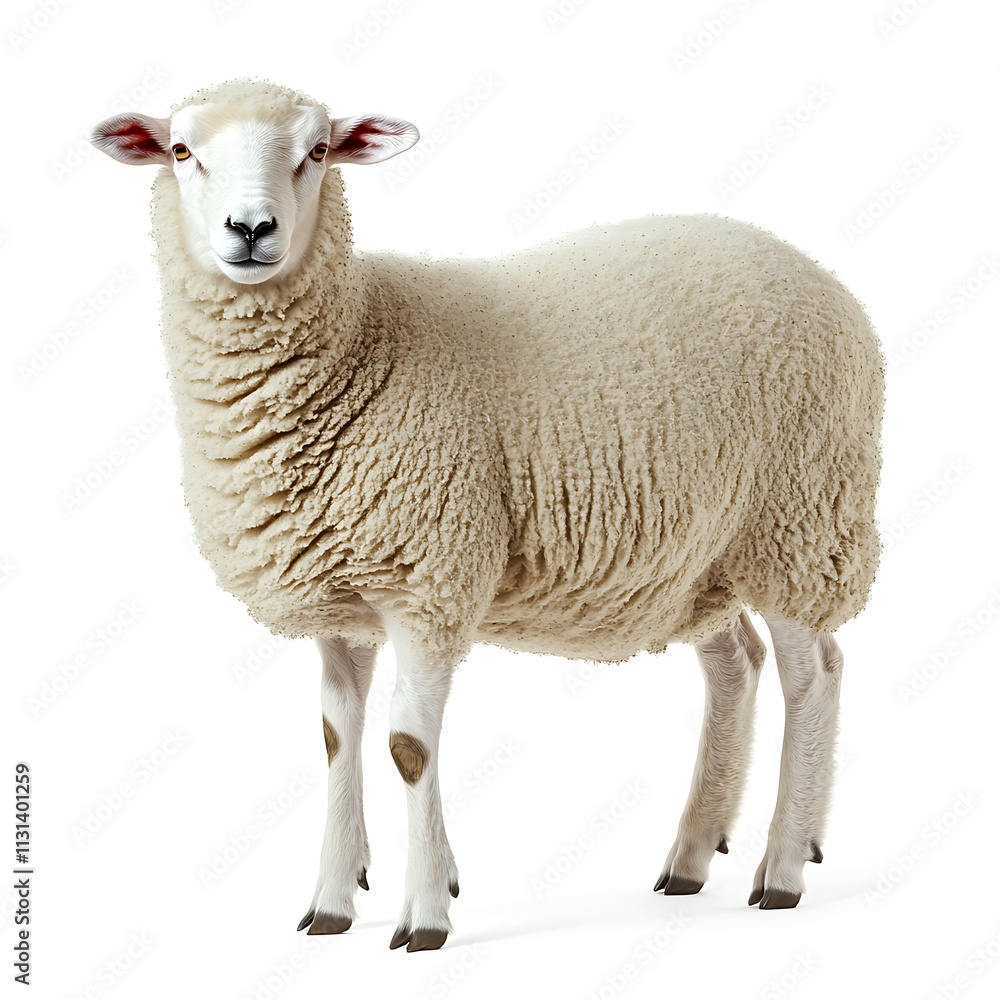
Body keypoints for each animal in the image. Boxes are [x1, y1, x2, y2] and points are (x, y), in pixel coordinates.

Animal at [91, 78, 884, 952]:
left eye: (318, 152)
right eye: (181, 150)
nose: (251, 230)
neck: (361, 342)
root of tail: (819, 274)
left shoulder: (428, 580)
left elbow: (408, 747)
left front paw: (426, 913)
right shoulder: (340, 594)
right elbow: (336, 739)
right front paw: (332, 902)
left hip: (801, 520)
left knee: (813, 673)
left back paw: (782, 867)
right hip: (697, 554)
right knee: (736, 665)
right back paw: (690, 856)